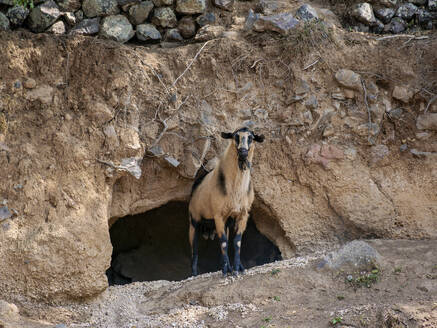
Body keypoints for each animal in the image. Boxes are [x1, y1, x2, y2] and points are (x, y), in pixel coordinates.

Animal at [186, 127, 262, 276]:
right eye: (235, 136)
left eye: (251, 137)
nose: (243, 151)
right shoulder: (218, 215)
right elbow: (224, 243)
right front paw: (227, 270)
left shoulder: (242, 214)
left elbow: (236, 242)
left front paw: (237, 269)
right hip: (194, 220)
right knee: (194, 249)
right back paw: (194, 274)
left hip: (223, 223)